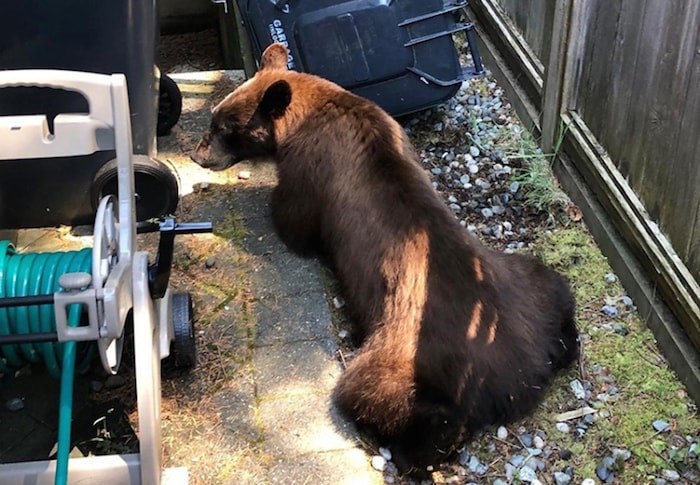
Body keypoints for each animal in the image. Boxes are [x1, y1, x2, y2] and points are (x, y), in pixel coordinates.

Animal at [191, 42, 580, 472]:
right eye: (214, 120)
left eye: (226, 128)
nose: (197, 156)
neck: (311, 112)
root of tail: (523, 375)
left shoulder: (308, 171)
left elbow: (294, 222)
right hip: (523, 277)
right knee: (556, 289)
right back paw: (566, 340)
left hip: (403, 352)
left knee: (378, 393)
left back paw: (420, 448)